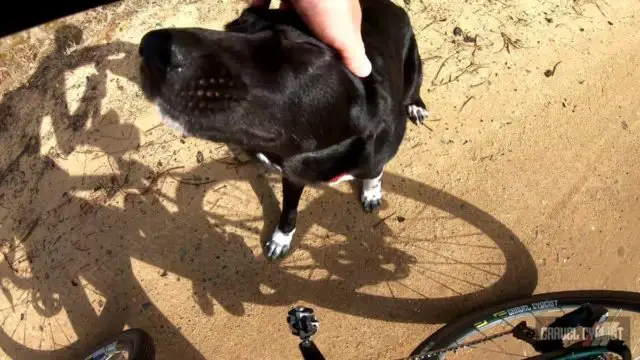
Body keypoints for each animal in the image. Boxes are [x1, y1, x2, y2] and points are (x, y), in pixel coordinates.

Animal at [141, 0, 430, 258]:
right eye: (234, 24)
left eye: (304, 52)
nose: (152, 46)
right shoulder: (292, 174)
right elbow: (289, 209)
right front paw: (281, 238)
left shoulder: (375, 155)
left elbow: (374, 173)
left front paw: (371, 192)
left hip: (414, 66)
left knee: (413, 90)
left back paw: (416, 106)